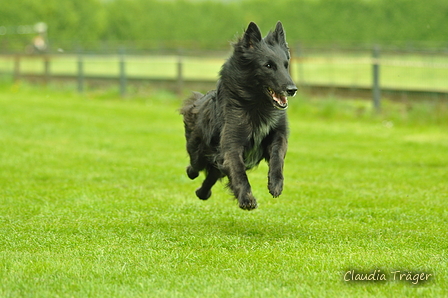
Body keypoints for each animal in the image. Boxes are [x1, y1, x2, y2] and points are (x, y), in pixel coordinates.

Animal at [180, 21, 296, 210]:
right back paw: (192, 174)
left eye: (285, 65)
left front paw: (276, 184)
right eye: (268, 66)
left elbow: (278, 156)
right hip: (199, 152)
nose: (292, 89)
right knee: (196, 166)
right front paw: (246, 198)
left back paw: (202, 193)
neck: (257, 107)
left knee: (212, 175)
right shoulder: (232, 145)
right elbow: (238, 171)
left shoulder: (278, 134)